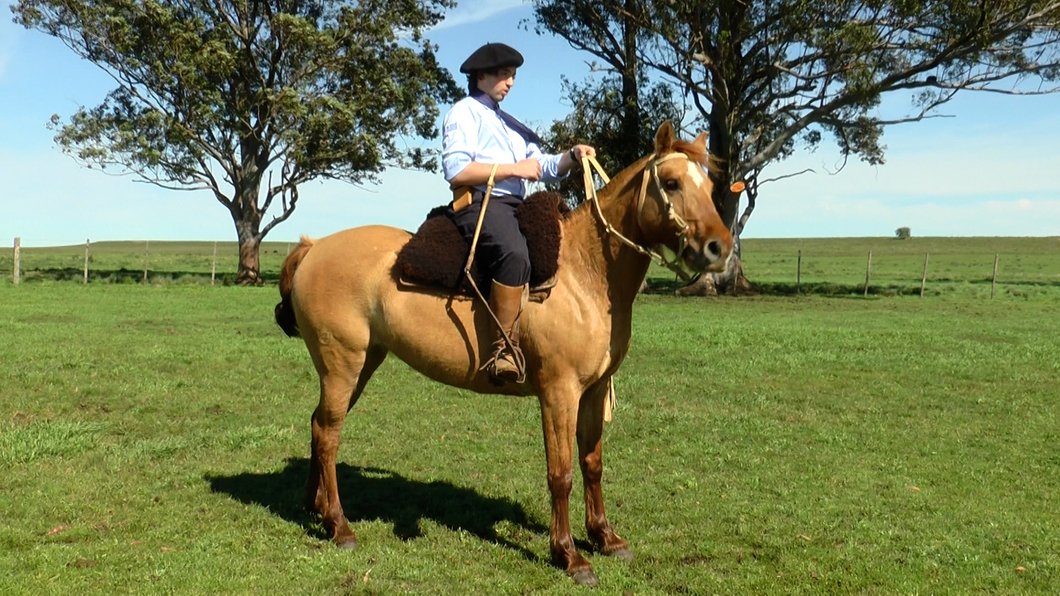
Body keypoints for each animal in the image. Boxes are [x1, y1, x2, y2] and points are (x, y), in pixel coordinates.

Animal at [273, 121, 733, 585]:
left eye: (709, 185)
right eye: (671, 183)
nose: (720, 248)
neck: (584, 273)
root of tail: (313, 246)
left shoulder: (593, 391)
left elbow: (592, 463)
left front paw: (605, 537)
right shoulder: (559, 393)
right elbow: (561, 473)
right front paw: (569, 555)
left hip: (362, 362)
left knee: (317, 425)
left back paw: (315, 509)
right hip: (342, 364)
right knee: (329, 434)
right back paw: (340, 525)